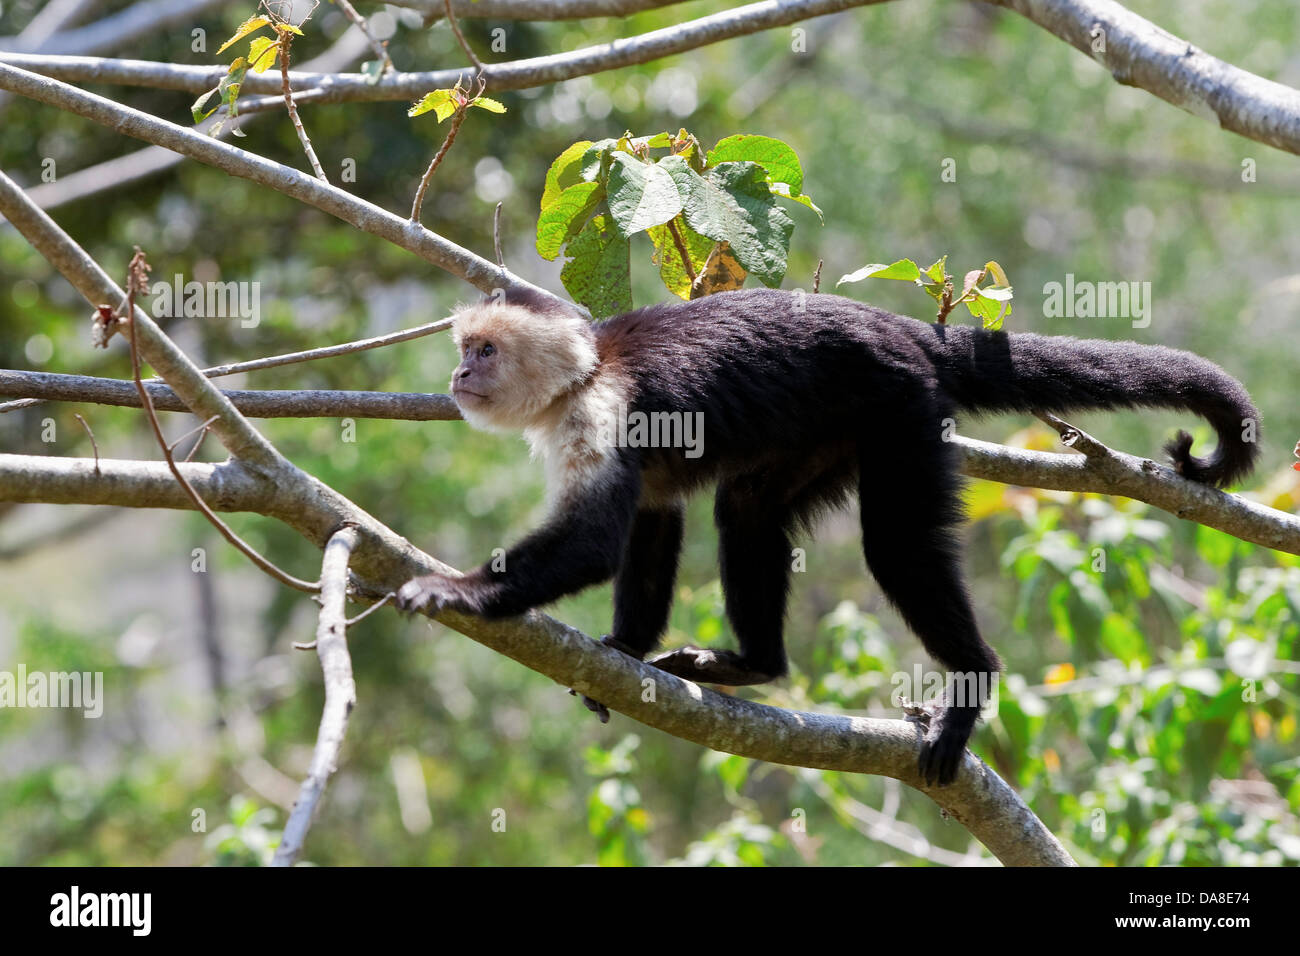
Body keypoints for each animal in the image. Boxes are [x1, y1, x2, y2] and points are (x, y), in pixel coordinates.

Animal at [397, 287, 1258, 790]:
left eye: (485, 350)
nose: (459, 377)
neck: (588, 369)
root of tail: (908, 331)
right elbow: (653, 520)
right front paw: (626, 650)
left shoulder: (603, 409)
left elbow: (595, 544)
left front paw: (459, 590)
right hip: (828, 428)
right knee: (746, 508)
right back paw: (753, 664)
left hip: (902, 405)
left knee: (897, 550)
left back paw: (970, 682)